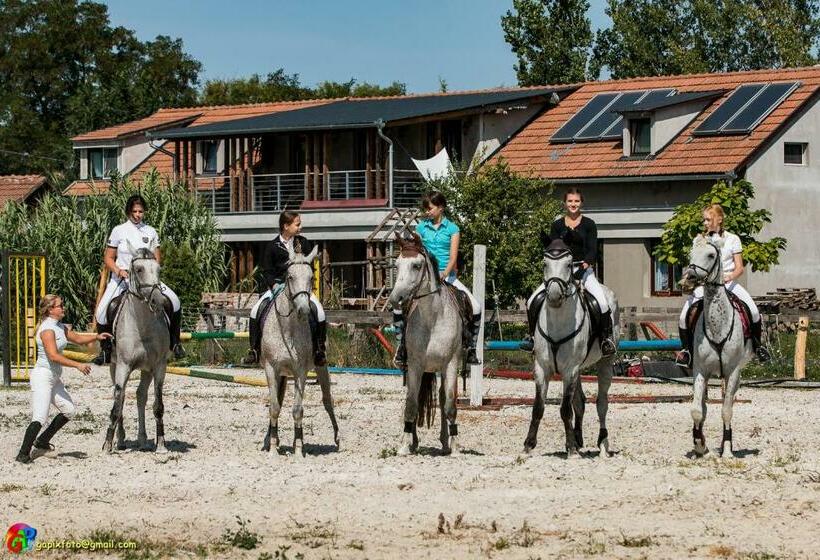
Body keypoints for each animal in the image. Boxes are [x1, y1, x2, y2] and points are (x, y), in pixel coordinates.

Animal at [102, 241, 170, 453]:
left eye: (158, 269)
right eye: (139, 269)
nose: (159, 301)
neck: (143, 325)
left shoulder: (159, 367)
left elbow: (158, 405)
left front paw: (161, 444)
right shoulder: (123, 366)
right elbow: (117, 404)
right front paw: (107, 445)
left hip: (146, 369)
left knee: (141, 396)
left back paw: (142, 439)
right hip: (113, 366)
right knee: (122, 395)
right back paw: (121, 440)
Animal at [260, 245, 340, 458]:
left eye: (311, 277)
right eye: (290, 276)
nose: (304, 309)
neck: (288, 329)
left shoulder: (300, 371)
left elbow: (298, 410)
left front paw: (298, 448)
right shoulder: (270, 368)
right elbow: (274, 407)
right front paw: (272, 447)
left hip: (321, 367)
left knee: (327, 400)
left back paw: (337, 437)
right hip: (281, 374)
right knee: (278, 400)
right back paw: (270, 440)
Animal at [388, 232, 463, 456]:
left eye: (416, 265)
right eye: (397, 264)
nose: (395, 299)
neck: (433, 318)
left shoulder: (451, 365)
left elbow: (450, 405)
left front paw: (456, 447)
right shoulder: (415, 366)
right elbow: (411, 404)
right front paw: (404, 445)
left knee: (442, 398)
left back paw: (446, 442)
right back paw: (414, 441)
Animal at [523, 238, 619, 458]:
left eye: (568, 264)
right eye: (544, 264)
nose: (554, 296)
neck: (558, 321)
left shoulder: (569, 369)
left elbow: (565, 409)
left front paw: (571, 449)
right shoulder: (542, 367)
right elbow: (538, 407)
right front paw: (528, 445)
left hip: (604, 362)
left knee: (602, 403)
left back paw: (602, 443)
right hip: (578, 369)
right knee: (580, 402)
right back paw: (578, 438)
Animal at [679, 236, 752, 458]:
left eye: (711, 255)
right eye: (690, 253)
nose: (688, 279)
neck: (718, 325)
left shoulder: (733, 371)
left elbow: (726, 410)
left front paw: (727, 450)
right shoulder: (700, 370)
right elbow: (697, 410)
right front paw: (699, 446)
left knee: (728, 401)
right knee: (703, 406)